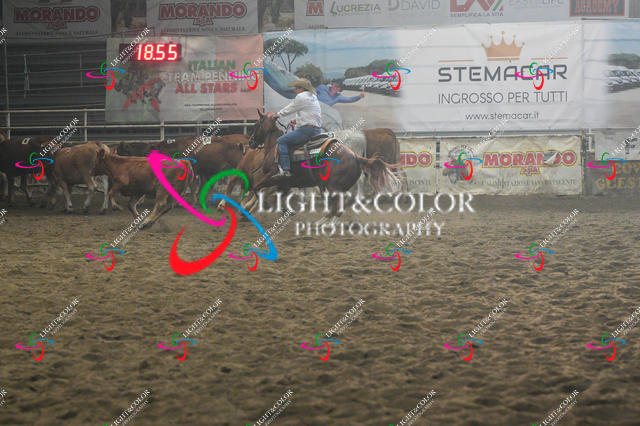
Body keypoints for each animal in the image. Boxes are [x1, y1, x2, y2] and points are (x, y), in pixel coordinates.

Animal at [219, 110, 400, 222]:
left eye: (256, 124)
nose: (251, 142)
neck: (273, 148)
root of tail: (355, 156)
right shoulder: (284, 184)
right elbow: (267, 193)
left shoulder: (271, 178)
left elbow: (257, 189)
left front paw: (247, 208)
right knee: (338, 207)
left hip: (334, 186)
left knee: (338, 207)